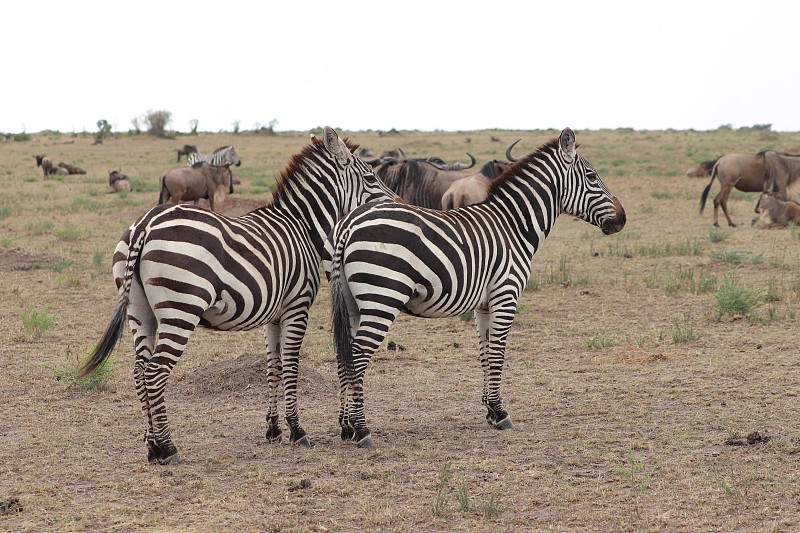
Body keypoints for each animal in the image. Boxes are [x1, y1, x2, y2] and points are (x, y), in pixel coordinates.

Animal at [79, 128, 396, 462]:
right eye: (371, 177)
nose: (398, 204)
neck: (303, 227)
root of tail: (146, 223)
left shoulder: (274, 315)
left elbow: (273, 368)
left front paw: (274, 430)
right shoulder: (297, 306)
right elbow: (291, 367)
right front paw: (297, 431)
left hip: (140, 312)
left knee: (140, 372)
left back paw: (152, 447)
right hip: (180, 308)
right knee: (154, 373)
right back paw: (168, 448)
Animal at [324, 127, 624, 446]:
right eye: (591, 176)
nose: (622, 218)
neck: (514, 226)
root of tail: (348, 224)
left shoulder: (484, 305)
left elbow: (485, 353)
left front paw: (491, 410)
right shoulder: (506, 295)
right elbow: (498, 354)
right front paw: (501, 413)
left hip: (352, 303)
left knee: (343, 354)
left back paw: (345, 427)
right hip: (382, 297)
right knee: (357, 355)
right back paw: (362, 430)